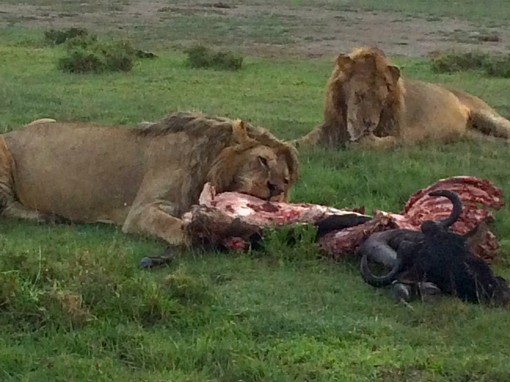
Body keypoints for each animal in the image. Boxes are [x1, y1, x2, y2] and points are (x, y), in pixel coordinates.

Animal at [0, 110, 298, 248]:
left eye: (286, 179)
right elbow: (175, 228)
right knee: (6, 206)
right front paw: (205, 234)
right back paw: (48, 217)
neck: (207, 160)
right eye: (262, 160)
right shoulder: (141, 211)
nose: (275, 188)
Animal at [292, 47, 510, 148]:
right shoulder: (331, 125)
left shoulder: (404, 135)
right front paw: (290, 146)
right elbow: (304, 140)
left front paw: (361, 141)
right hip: (473, 136)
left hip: (490, 117)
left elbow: (380, 143)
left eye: (381, 100)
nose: (369, 124)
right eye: (359, 95)